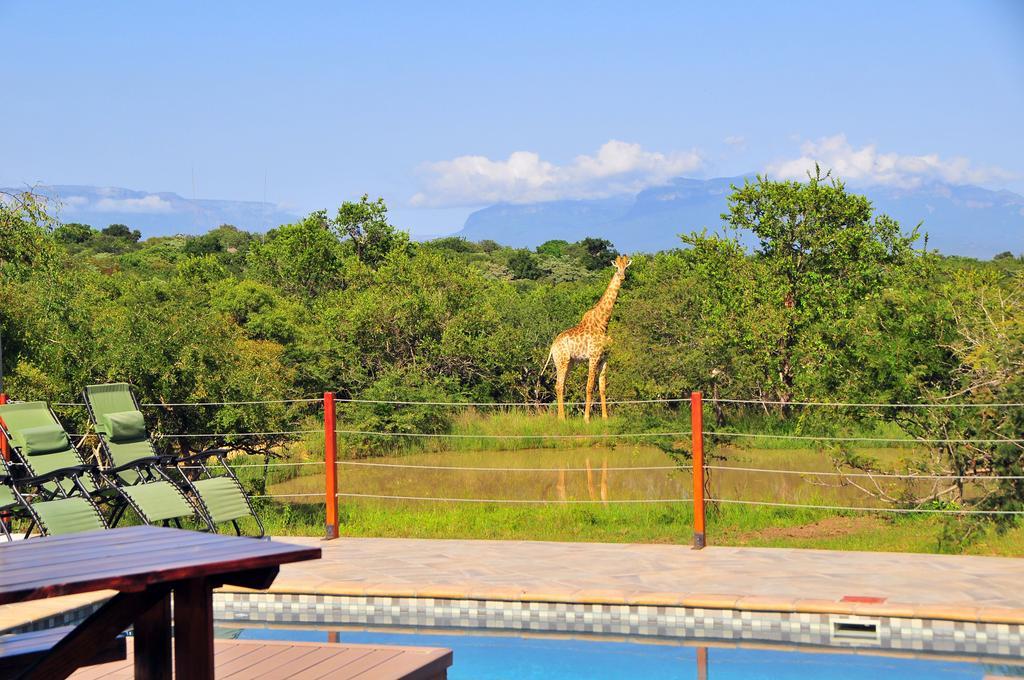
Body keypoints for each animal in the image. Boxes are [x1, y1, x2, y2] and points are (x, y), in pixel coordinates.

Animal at [544, 255, 630, 421]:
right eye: (616, 267)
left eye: (626, 267)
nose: (622, 276)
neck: (603, 323)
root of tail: (552, 347)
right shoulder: (593, 356)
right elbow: (589, 386)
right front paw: (586, 419)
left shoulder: (604, 358)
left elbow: (602, 388)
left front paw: (605, 417)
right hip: (562, 361)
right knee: (558, 385)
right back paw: (562, 418)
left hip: (569, 362)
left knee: (561, 385)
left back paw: (561, 417)